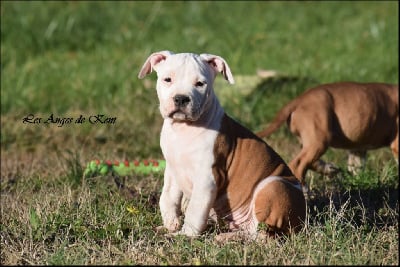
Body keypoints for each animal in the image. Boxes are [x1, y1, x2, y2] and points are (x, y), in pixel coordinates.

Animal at [256, 81, 396, 186]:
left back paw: (329, 169)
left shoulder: (358, 148)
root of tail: (297, 100)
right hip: (320, 139)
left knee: (309, 161)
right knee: (299, 164)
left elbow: (356, 166)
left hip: (311, 142)